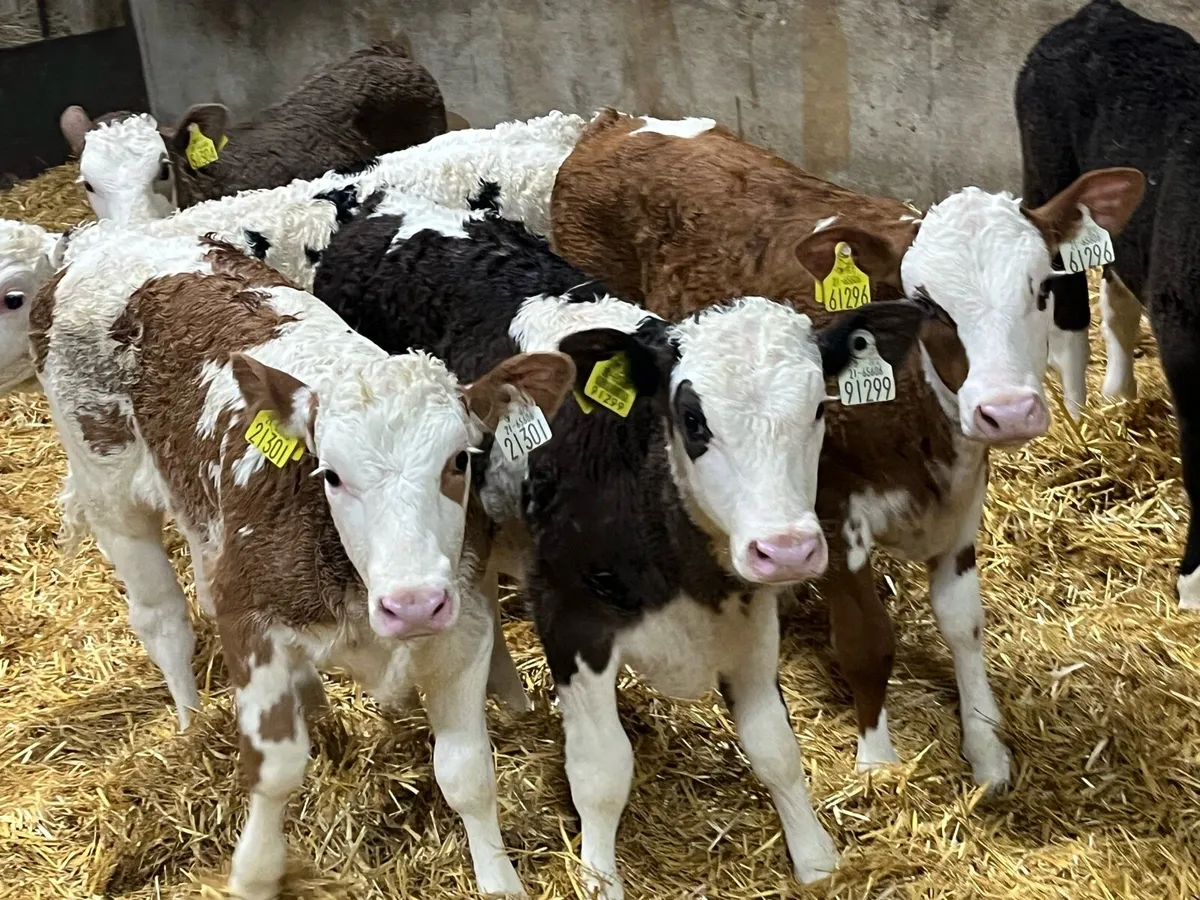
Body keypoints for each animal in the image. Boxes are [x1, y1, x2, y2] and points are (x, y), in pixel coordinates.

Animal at [23, 232, 578, 898]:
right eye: (331, 474)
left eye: (460, 461)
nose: (413, 604)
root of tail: (103, 240)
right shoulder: (251, 620)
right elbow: (276, 766)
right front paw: (254, 873)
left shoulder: (463, 623)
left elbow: (468, 772)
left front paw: (499, 880)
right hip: (110, 489)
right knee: (162, 617)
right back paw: (190, 725)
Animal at [549, 108, 1145, 790]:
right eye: (927, 305)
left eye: (1044, 285)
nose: (1008, 410)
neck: (913, 409)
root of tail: (617, 122)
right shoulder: (835, 514)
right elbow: (866, 643)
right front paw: (878, 763)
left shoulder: (961, 510)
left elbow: (964, 626)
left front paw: (987, 750)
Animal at [1016, 0, 1199, 608]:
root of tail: (1104, 13)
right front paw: (1194, 582)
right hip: (1049, 175)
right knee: (1072, 307)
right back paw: (1077, 420)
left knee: (1116, 295)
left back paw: (1118, 395)